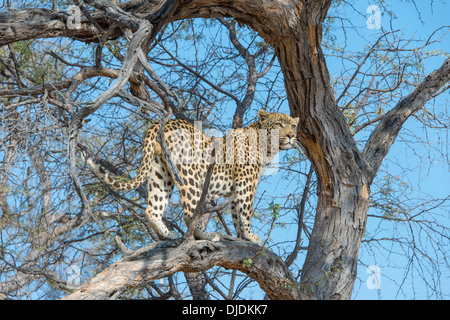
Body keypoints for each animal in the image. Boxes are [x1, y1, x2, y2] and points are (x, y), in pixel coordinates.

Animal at [81, 109, 298, 242]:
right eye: (279, 124)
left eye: (293, 126)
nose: (291, 136)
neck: (267, 148)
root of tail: (164, 122)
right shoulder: (246, 183)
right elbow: (245, 212)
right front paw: (251, 236)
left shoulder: (240, 186)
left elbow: (237, 214)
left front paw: (241, 237)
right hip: (190, 174)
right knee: (188, 213)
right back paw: (208, 236)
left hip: (161, 173)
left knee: (152, 209)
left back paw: (167, 234)